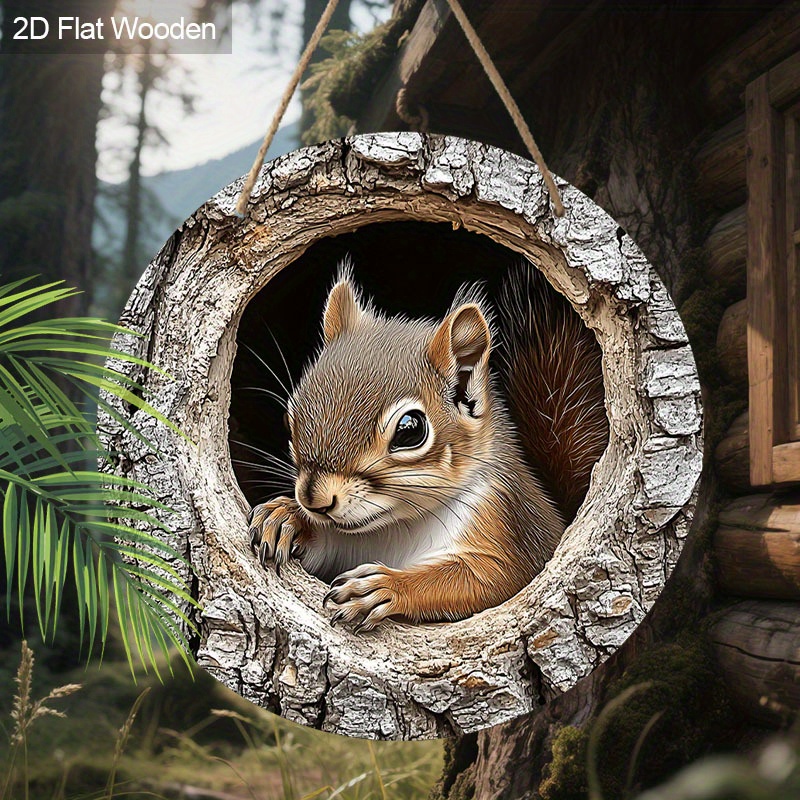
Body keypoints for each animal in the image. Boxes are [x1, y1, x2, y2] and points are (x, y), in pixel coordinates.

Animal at [247, 259, 608, 632]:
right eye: (290, 417)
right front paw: (286, 517)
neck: (396, 527)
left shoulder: (510, 530)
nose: (314, 501)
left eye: (410, 430)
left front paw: (385, 588)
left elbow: (486, 579)